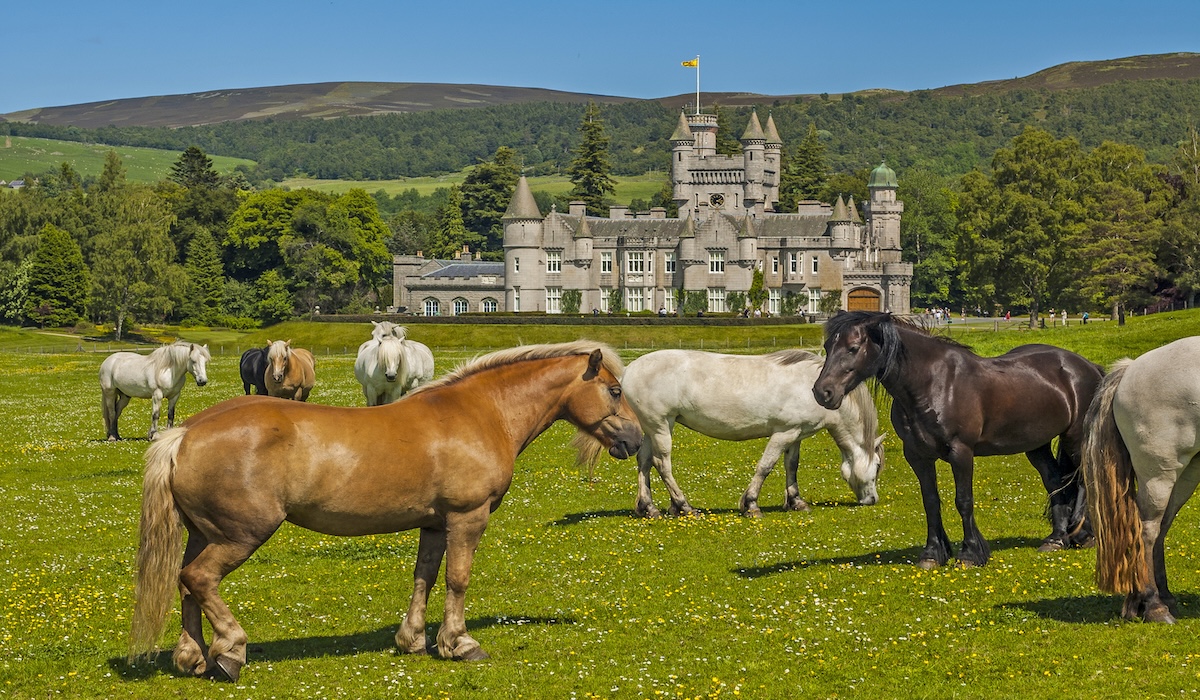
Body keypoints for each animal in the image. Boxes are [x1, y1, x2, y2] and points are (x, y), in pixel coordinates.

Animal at [126, 343, 643, 681]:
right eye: (616, 391)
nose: (636, 440)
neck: (482, 412)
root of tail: (185, 433)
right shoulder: (467, 518)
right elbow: (458, 579)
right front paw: (460, 643)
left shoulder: (434, 524)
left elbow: (425, 577)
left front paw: (412, 639)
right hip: (241, 535)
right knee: (199, 579)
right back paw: (230, 651)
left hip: (203, 533)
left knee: (186, 584)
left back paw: (193, 657)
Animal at [624, 350, 888, 521]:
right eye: (876, 467)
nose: (872, 499)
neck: (815, 387)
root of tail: (629, 370)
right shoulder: (783, 433)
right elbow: (765, 467)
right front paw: (751, 505)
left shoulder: (796, 434)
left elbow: (791, 466)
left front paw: (796, 501)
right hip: (661, 425)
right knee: (662, 464)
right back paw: (684, 506)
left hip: (652, 428)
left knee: (644, 462)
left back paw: (649, 508)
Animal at [811, 312, 1099, 569]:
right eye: (827, 346)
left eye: (853, 348)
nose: (823, 392)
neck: (933, 382)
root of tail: (1087, 367)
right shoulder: (917, 456)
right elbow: (930, 501)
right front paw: (932, 554)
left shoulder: (961, 452)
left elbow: (963, 500)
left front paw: (970, 554)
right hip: (1037, 446)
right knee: (1055, 482)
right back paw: (1057, 539)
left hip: (1074, 439)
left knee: (1084, 479)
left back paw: (1084, 535)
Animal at [1080, 336, 1200, 619]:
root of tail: (1131, 368)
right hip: (1159, 475)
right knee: (1147, 529)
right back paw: (1154, 604)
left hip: (1185, 475)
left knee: (1161, 527)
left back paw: (1157, 598)